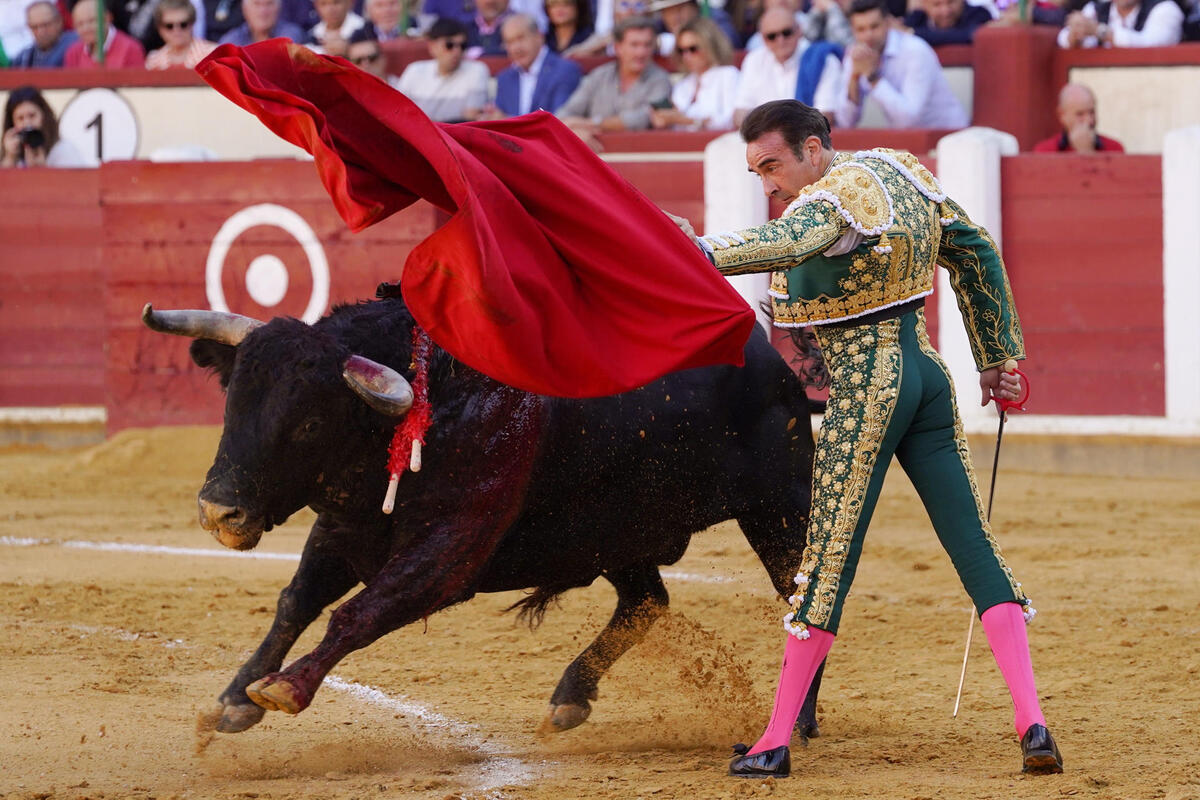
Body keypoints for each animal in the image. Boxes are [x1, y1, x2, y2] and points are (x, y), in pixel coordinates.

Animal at [142, 291, 825, 743]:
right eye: (233, 401)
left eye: (309, 422)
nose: (218, 510)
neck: (428, 406)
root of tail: (765, 352)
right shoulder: (342, 530)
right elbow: (295, 602)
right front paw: (235, 698)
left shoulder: (448, 555)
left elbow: (357, 613)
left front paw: (285, 688)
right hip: (614, 532)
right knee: (646, 601)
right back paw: (569, 699)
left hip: (780, 510)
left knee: (803, 605)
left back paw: (795, 723)